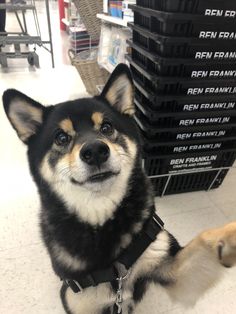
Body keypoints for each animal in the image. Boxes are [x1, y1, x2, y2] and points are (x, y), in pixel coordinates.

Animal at [2, 64, 236, 314]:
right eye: (61, 137)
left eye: (106, 127)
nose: (95, 151)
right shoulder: (78, 299)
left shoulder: (168, 266)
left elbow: (204, 238)